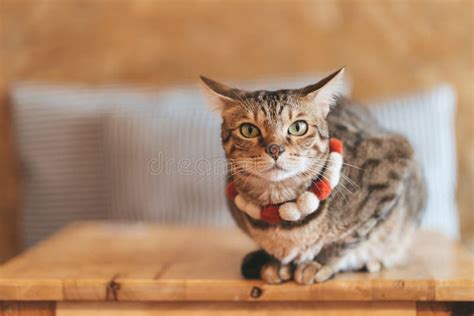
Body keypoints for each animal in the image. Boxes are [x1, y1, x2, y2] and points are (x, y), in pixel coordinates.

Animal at [200, 68, 426, 286]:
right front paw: (276, 263)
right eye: (248, 130)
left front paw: (319, 263)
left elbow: (350, 237)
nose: (275, 149)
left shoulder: (393, 164)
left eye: (298, 127)